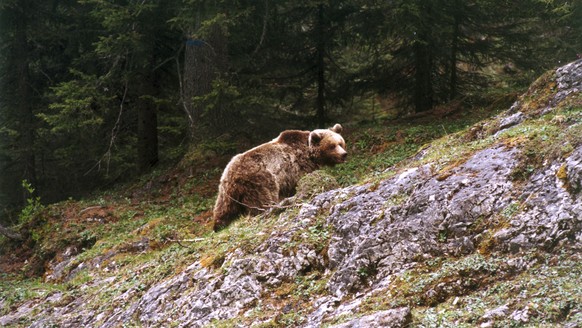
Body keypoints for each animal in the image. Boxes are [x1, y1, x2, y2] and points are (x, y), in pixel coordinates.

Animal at [216, 123, 350, 231]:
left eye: (341, 143)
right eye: (332, 146)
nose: (344, 154)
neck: (310, 154)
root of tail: (232, 174)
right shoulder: (297, 167)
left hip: (226, 192)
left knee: (224, 208)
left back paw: (219, 224)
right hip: (260, 180)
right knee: (263, 200)